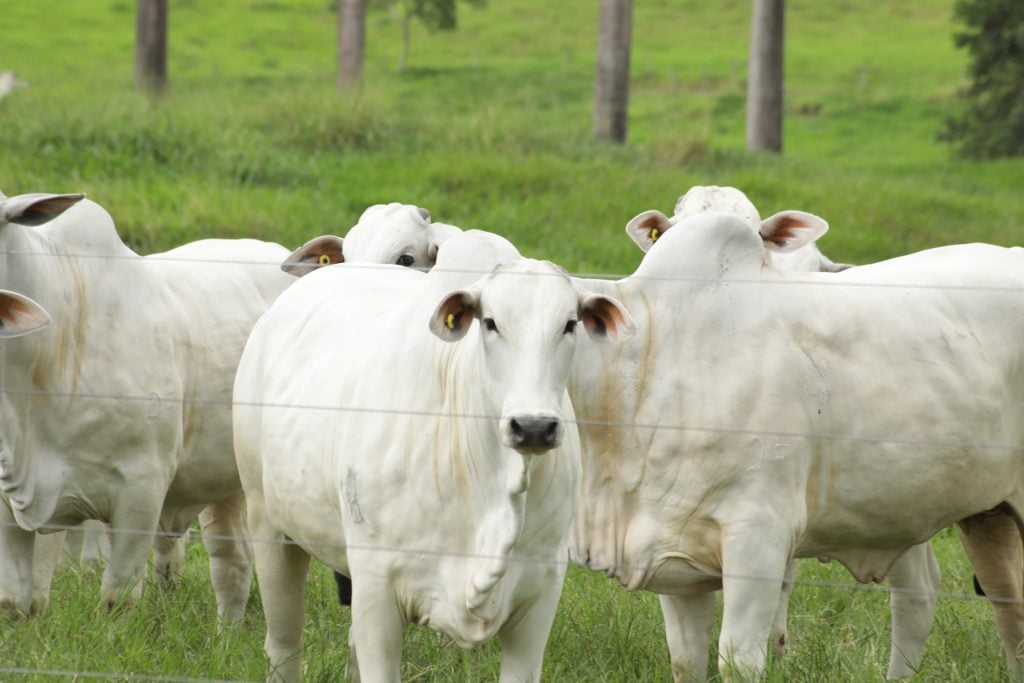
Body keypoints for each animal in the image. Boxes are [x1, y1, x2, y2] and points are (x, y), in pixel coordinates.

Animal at [234, 248, 630, 679]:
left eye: (569, 324)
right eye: (490, 323)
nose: (534, 427)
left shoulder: (540, 595)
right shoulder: (377, 591)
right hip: (269, 527)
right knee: (283, 645)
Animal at [573, 210, 1024, 679]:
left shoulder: (759, 536)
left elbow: (738, 659)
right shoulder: (672, 549)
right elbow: (685, 660)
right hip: (972, 512)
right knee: (995, 606)